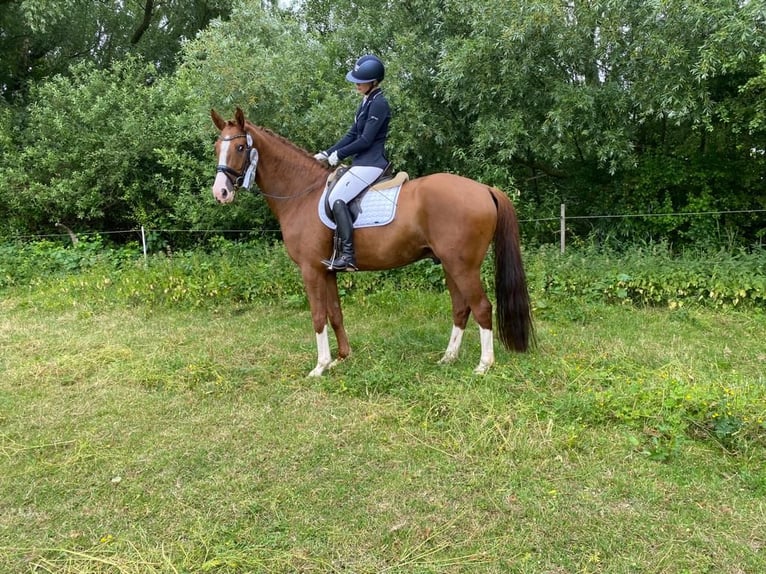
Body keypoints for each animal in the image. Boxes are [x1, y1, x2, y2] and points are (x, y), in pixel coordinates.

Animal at [210, 108, 536, 378]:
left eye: (240, 147)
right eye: (217, 147)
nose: (221, 192)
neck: (302, 193)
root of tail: (484, 189)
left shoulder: (310, 270)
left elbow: (318, 316)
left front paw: (319, 367)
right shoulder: (327, 270)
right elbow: (335, 313)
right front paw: (341, 358)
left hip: (463, 266)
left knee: (481, 306)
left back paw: (483, 365)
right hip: (449, 264)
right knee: (461, 308)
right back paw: (448, 358)